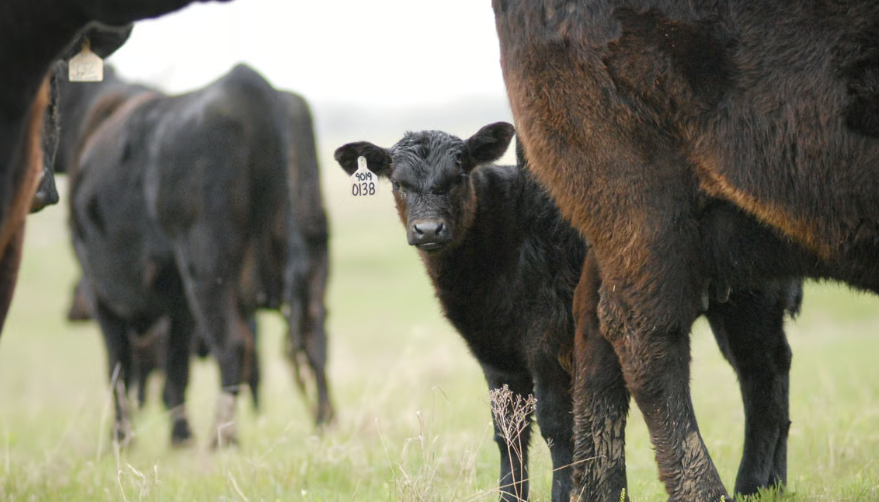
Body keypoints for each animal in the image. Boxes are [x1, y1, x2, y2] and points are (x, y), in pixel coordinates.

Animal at [67, 63, 310, 447]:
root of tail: (246, 82)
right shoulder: (178, 304)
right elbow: (175, 370)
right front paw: (180, 437)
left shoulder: (100, 292)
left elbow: (118, 369)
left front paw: (121, 439)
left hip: (207, 270)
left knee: (233, 344)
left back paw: (221, 438)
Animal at [334, 123, 801, 502]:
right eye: (399, 182)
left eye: (459, 175)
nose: (429, 230)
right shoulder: (494, 353)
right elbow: (508, 432)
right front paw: (510, 497)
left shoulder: (549, 338)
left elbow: (558, 424)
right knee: (771, 371)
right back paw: (774, 485)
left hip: (751, 300)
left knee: (761, 378)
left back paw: (751, 485)